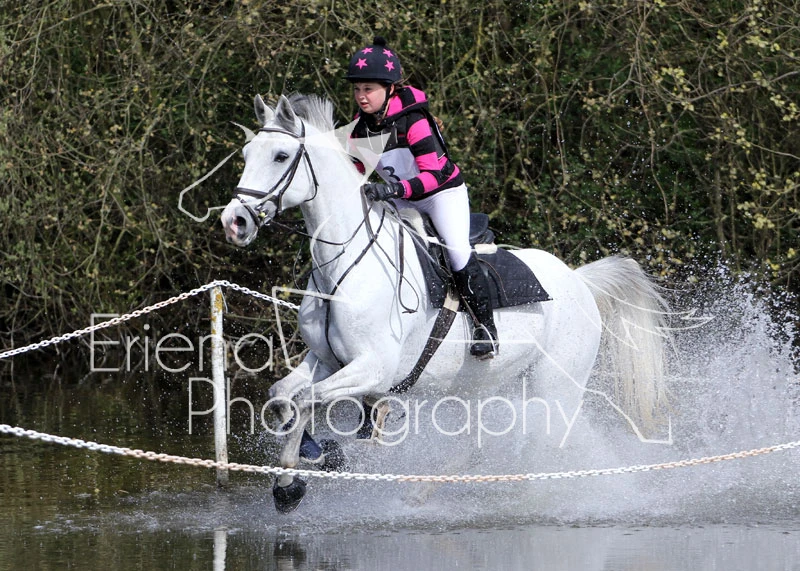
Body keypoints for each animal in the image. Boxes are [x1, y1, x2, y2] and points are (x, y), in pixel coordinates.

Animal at [220, 93, 670, 513]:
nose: (234, 222)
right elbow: (281, 394)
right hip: (484, 385)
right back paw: (423, 491)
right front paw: (319, 456)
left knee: (548, 444)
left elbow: (304, 400)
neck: (346, 260)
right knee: (479, 447)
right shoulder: (328, 360)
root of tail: (578, 280)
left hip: (554, 386)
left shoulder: (373, 366)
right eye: (246, 154)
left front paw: (289, 486)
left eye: (280, 156)